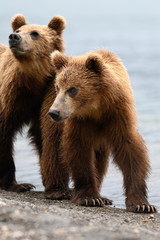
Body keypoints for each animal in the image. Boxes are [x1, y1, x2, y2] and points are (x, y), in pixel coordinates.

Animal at [0, 14, 65, 192]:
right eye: (18, 30)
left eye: (35, 33)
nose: (14, 37)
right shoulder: (10, 99)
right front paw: (17, 184)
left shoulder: (41, 102)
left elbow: (43, 135)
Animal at [46, 49, 156, 213]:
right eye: (58, 87)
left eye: (72, 89)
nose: (54, 112)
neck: (96, 107)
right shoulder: (81, 122)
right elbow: (79, 152)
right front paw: (90, 198)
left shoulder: (117, 116)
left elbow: (130, 152)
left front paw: (142, 204)